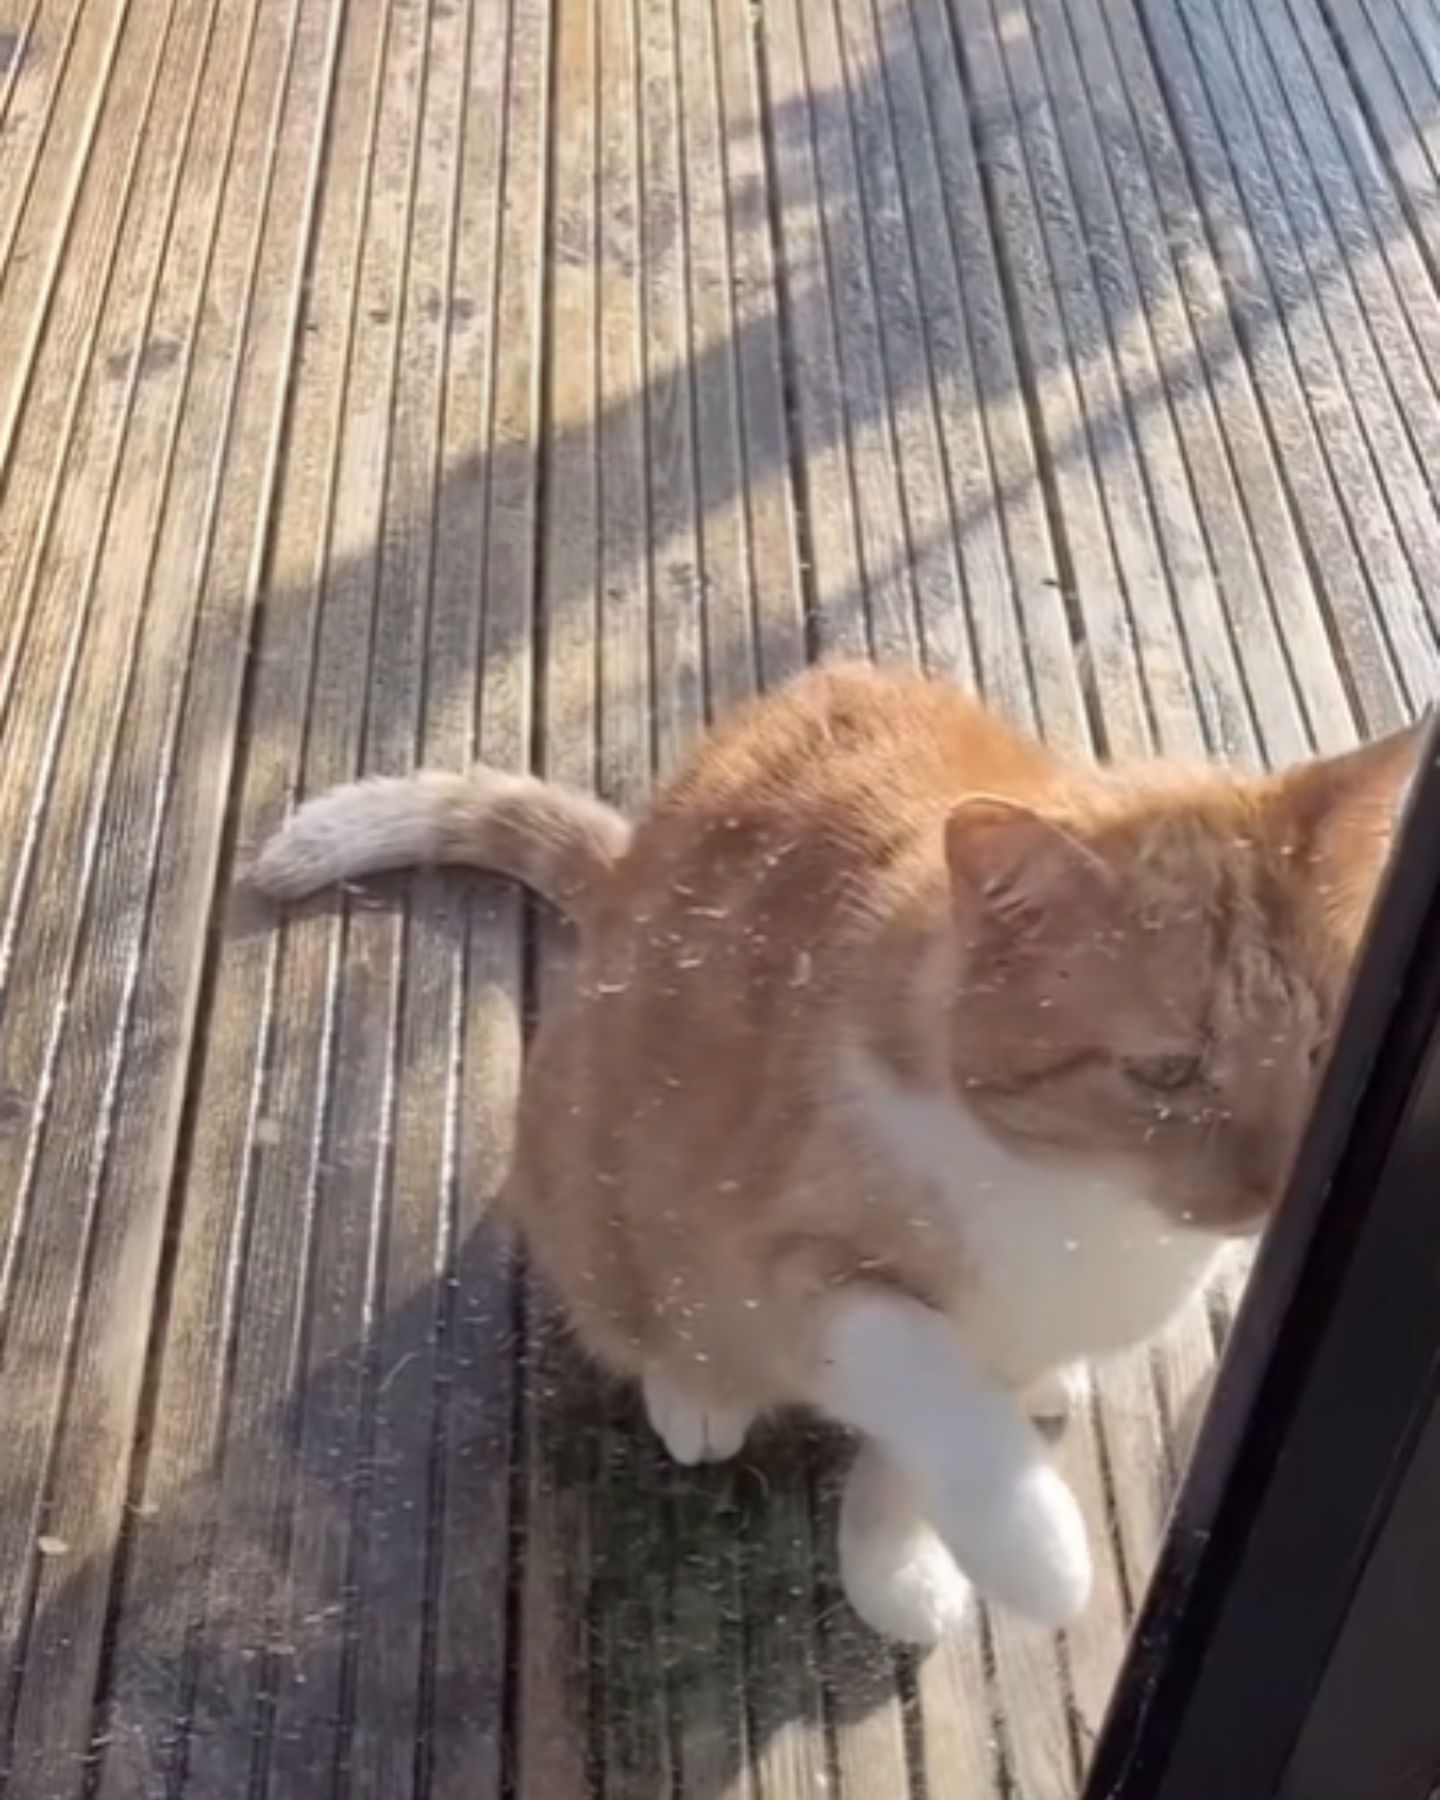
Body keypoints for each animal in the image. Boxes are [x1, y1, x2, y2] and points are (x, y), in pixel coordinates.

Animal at [250, 666, 1418, 1648]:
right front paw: (1032, 1553)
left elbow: (909, 1462)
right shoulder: (783, 1264)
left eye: (1326, 1045)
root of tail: (626, 869)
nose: (1274, 1183)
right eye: (1167, 1072)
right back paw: (696, 1389)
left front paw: (894, 1566)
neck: (1080, 1213)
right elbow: (929, 1383)